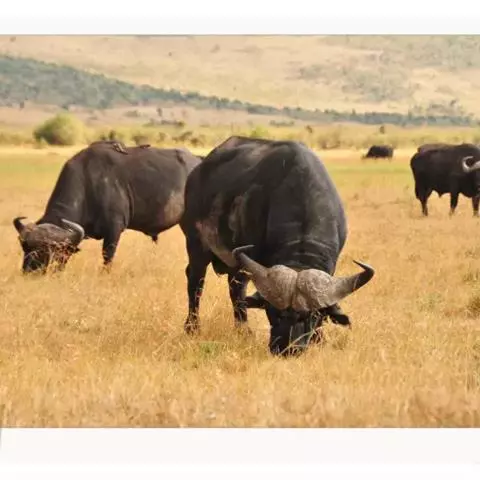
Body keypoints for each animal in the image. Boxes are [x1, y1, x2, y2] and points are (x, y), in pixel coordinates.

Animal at [13, 141, 201, 273]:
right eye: (25, 246)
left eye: (48, 250)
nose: (29, 272)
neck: (88, 183)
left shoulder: (114, 230)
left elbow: (107, 257)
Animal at [180, 135, 375, 356]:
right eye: (272, 311)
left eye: (313, 315)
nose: (288, 348)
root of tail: (198, 171)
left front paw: (319, 339)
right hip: (197, 245)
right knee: (197, 283)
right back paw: (193, 327)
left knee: (235, 287)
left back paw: (242, 330)